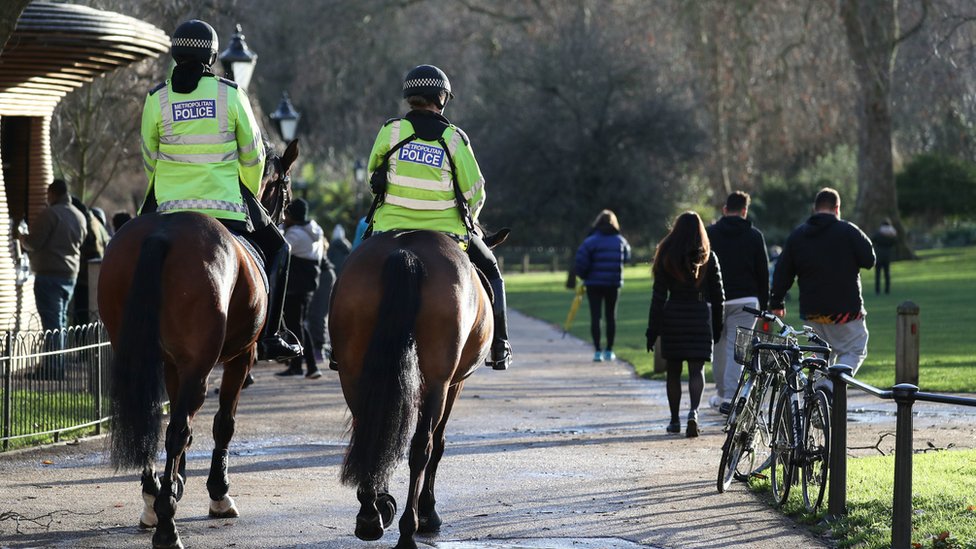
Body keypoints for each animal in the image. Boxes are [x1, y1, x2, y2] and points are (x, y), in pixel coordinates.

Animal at [99, 139, 300, 544]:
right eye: (285, 189)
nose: (285, 215)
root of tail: (163, 234)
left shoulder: (174, 363)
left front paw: (173, 482)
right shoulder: (241, 357)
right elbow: (223, 423)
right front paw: (217, 492)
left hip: (139, 353)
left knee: (154, 420)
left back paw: (152, 498)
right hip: (203, 363)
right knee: (177, 430)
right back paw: (166, 525)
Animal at [330, 227, 508, 548]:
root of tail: (406, 251)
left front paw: (383, 502)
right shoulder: (454, 384)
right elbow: (439, 442)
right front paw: (428, 512)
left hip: (352, 372)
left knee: (370, 431)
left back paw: (370, 516)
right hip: (437, 381)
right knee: (421, 447)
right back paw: (409, 528)